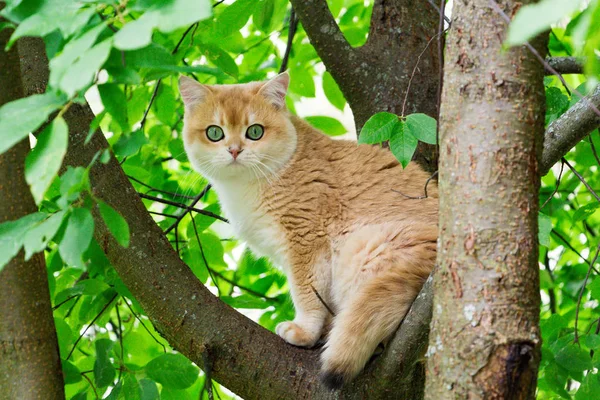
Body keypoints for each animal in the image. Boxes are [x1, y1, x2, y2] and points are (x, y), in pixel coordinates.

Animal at [177, 72, 436, 388]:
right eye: (215, 133)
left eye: (255, 132)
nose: (235, 150)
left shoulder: (306, 239)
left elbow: (306, 292)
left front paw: (304, 332)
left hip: (367, 247)